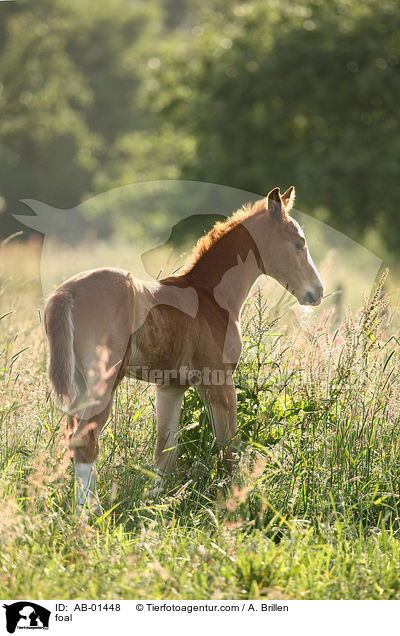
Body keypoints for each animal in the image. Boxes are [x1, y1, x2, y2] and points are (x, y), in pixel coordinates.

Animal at [43, 186, 324, 516]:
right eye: (299, 243)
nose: (317, 292)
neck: (210, 297)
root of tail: (67, 293)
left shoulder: (171, 387)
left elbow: (165, 450)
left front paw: (156, 505)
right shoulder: (218, 381)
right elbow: (228, 445)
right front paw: (233, 501)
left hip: (79, 385)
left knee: (74, 437)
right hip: (103, 381)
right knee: (85, 440)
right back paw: (89, 514)